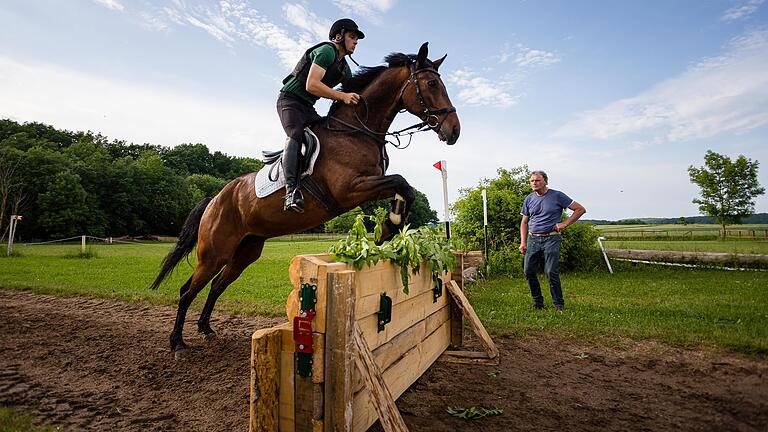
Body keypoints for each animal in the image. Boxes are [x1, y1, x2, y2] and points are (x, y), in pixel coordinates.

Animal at [151, 42, 462, 358]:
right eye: (432, 84)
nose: (454, 131)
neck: (356, 130)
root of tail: (215, 198)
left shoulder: (369, 186)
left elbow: (406, 189)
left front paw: (390, 228)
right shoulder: (350, 189)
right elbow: (401, 182)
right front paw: (391, 225)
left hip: (245, 251)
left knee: (215, 285)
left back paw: (206, 328)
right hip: (215, 252)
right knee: (187, 290)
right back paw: (178, 342)